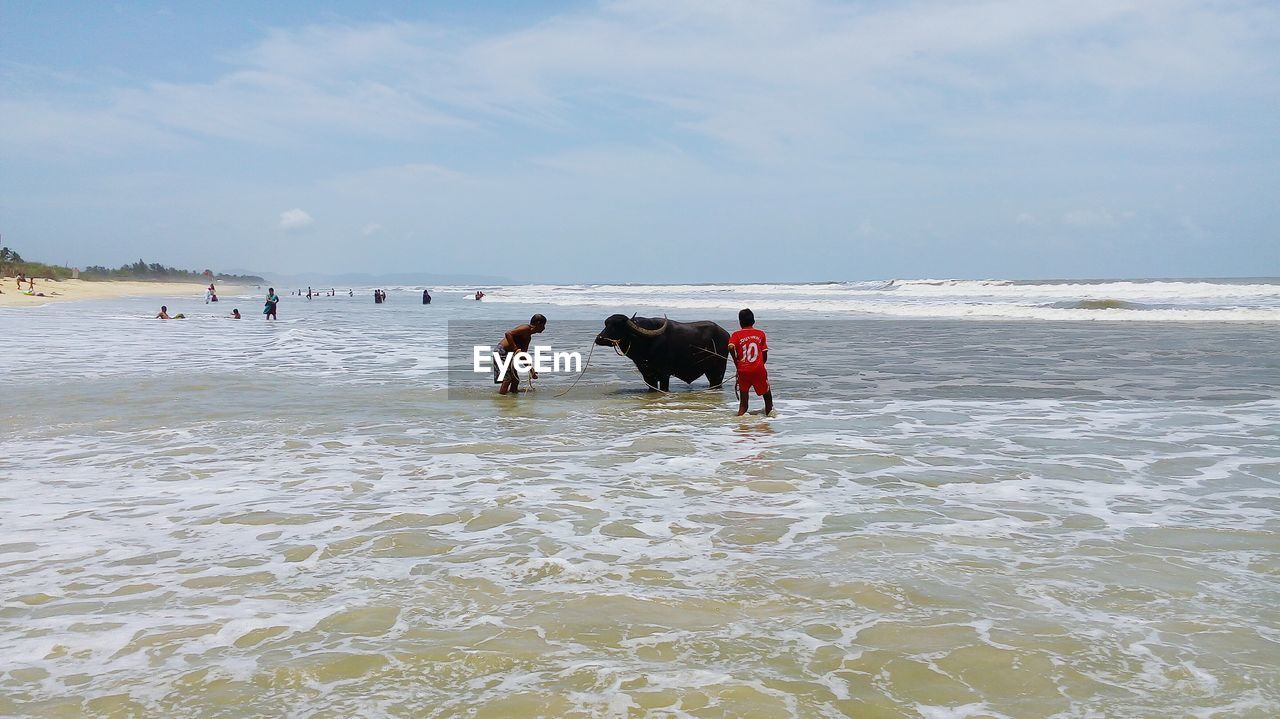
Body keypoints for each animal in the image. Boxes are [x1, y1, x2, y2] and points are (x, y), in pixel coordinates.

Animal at [591, 314, 727, 391]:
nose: (599, 339)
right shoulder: (647, 375)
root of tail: (725, 334)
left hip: (718, 371)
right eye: (606, 324)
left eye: (617, 326)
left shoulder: (664, 374)